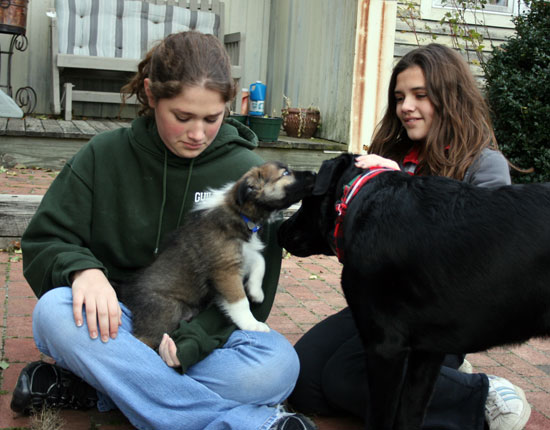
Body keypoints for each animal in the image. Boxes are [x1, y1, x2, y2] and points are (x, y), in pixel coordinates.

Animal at [278, 155, 550, 430]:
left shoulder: (385, 347)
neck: (357, 199)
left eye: (305, 200)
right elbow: (410, 413)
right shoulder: (429, 351)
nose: (280, 229)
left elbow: (381, 417)